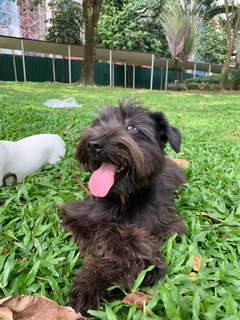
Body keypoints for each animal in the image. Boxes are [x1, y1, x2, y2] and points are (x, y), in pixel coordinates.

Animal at [61, 99, 186, 316]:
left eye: (131, 127)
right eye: (98, 123)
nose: (93, 144)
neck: (124, 199)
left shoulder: (164, 224)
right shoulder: (78, 216)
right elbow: (109, 231)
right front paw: (92, 282)